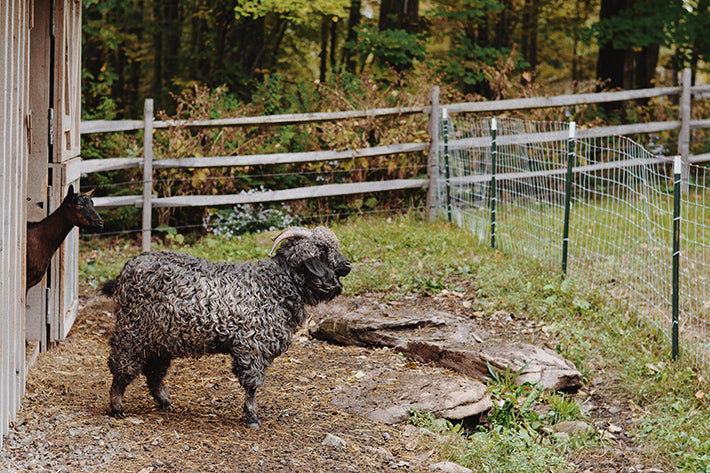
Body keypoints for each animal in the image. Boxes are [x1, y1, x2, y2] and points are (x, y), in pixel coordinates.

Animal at [105, 225, 350, 428]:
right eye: (324, 251)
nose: (347, 265)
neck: (274, 286)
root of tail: (126, 269)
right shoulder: (252, 346)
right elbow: (252, 385)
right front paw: (252, 417)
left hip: (162, 337)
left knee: (154, 372)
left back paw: (164, 402)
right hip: (133, 330)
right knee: (122, 366)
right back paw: (117, 406)